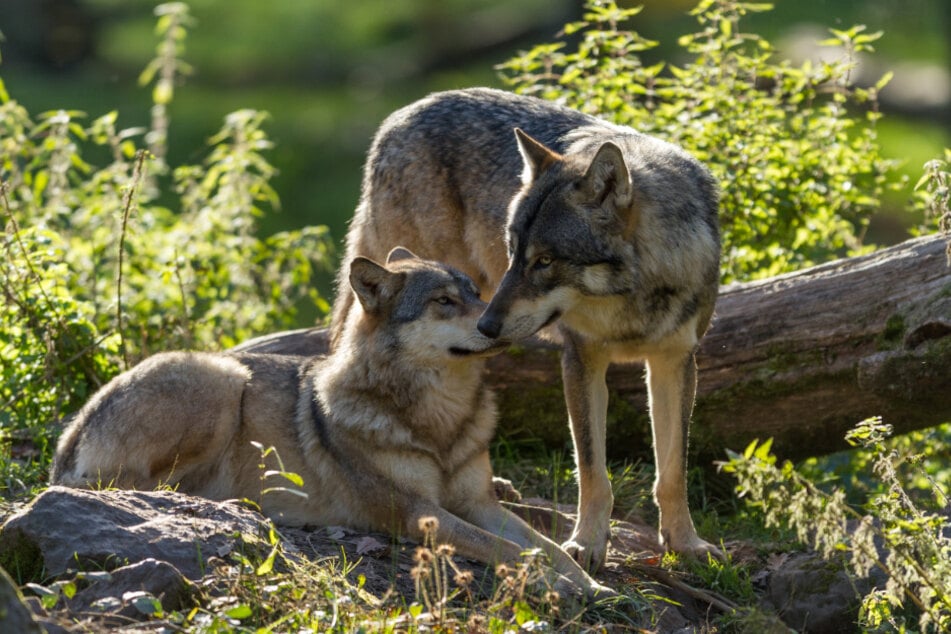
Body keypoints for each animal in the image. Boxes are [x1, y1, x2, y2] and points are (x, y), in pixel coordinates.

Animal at [51, 248, 610, 598]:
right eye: (443, 301)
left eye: (476, 292)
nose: (496, 323)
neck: (439, 421)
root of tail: (69, 435)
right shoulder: (419, 514)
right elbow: (511, 551)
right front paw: (565, 586)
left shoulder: (477, 503)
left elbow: (546, 547)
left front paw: (590, 583)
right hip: (225, 379)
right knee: (137, 487)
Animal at [330, 87, 721, 571]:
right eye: (514, 251)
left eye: (545, 260)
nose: (488, 324)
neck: (633, 296)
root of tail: (400, 115)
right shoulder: (581, 361)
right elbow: (593, 470)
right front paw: (587, 544)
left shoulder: (676, 362)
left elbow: (673, 469)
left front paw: (684, 543)